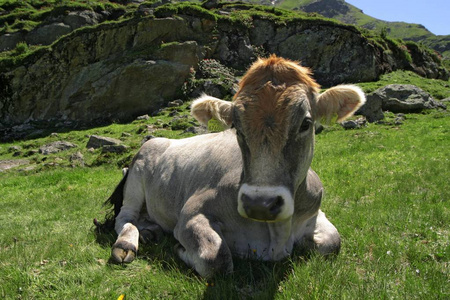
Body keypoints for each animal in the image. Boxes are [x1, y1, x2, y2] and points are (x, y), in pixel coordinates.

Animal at [106, 55, 366, 278]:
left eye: (306, 123)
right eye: (237, 128)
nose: (260, 204)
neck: (276, 236)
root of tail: (156, 139)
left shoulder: (314, 212)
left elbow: (333, 242)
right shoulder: (190, 214)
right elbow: (216, 259)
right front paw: (180, 249)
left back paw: (151, 231)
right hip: (136, 178)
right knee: (125, 216)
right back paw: (127, 243)